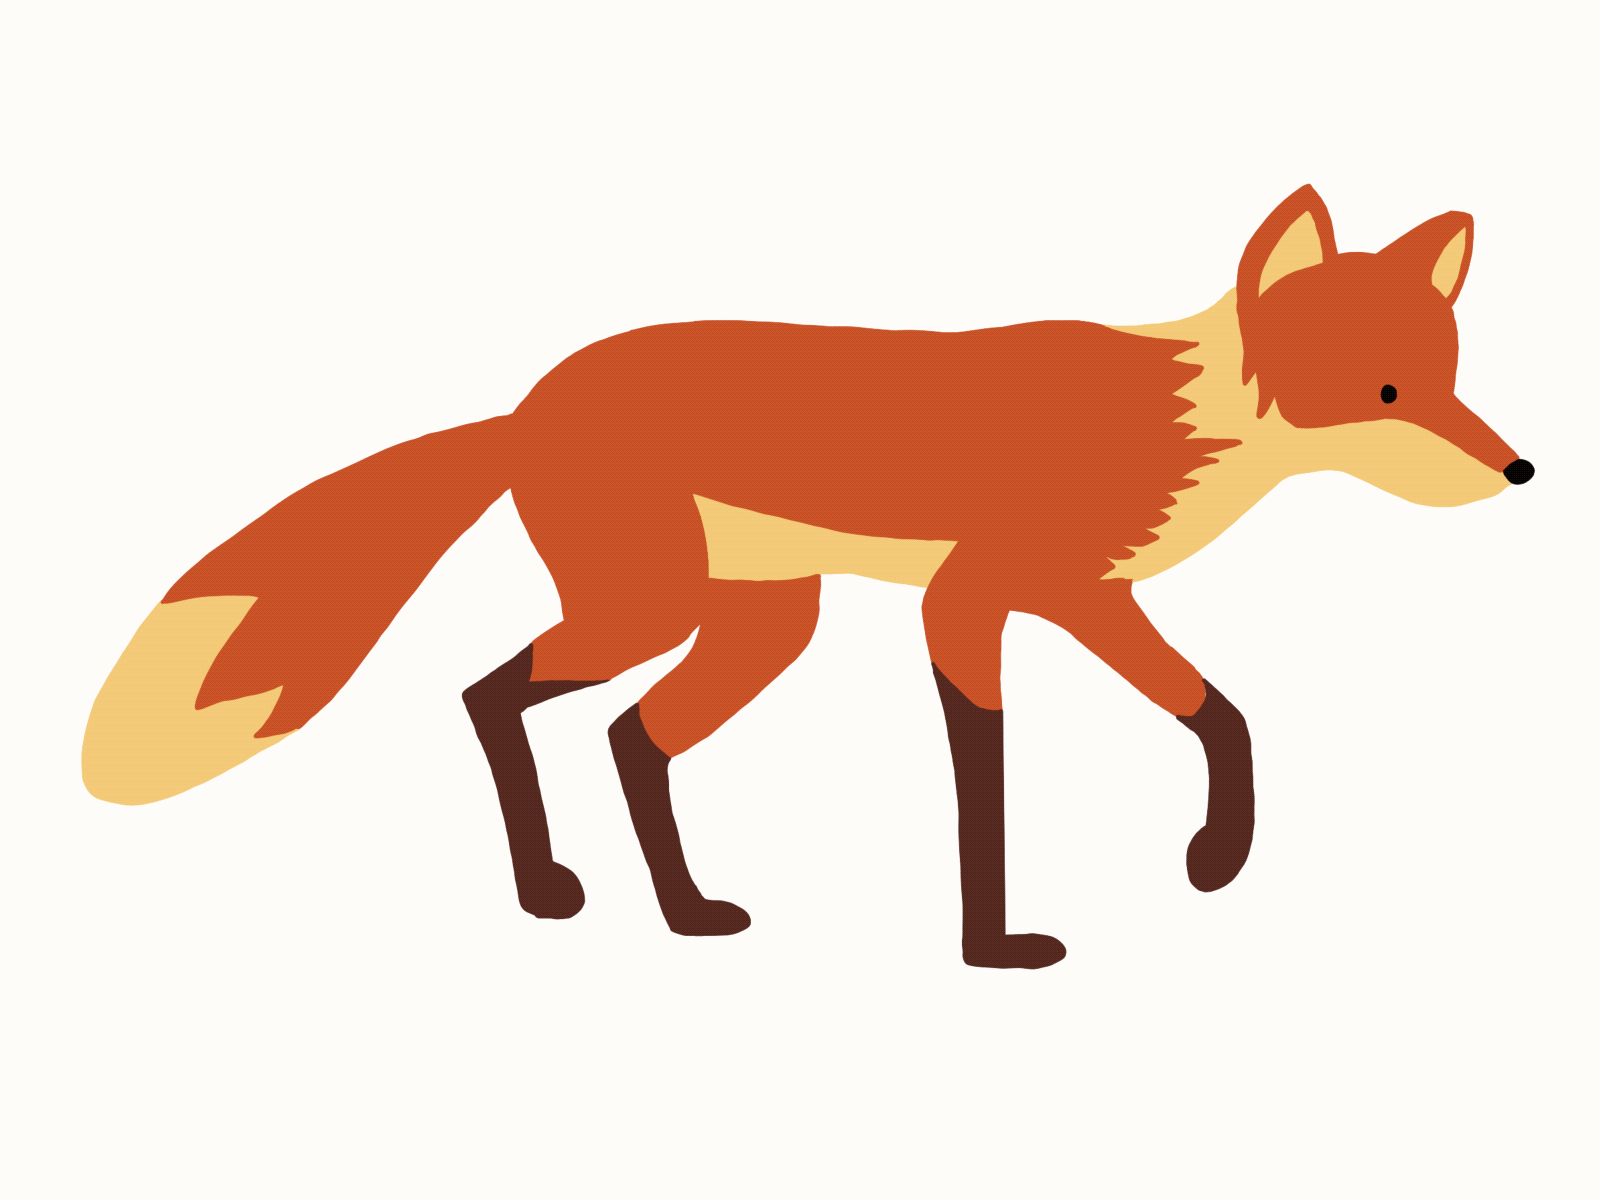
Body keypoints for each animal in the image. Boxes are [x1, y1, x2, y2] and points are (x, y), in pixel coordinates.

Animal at [83, 185, 1531, 969]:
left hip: (760, 628)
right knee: (494, 695)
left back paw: (683, 914)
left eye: (1452, 378)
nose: (1518, 470)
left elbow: (1220, 713)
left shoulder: (1091, 598)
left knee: (629, 734)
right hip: (649, 611)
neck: (1169, 423)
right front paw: (993, 946)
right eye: (1387, 393)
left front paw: (1215, 860)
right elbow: (985, 778)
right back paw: (554, 892)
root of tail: (526, 403)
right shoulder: (975, 602)